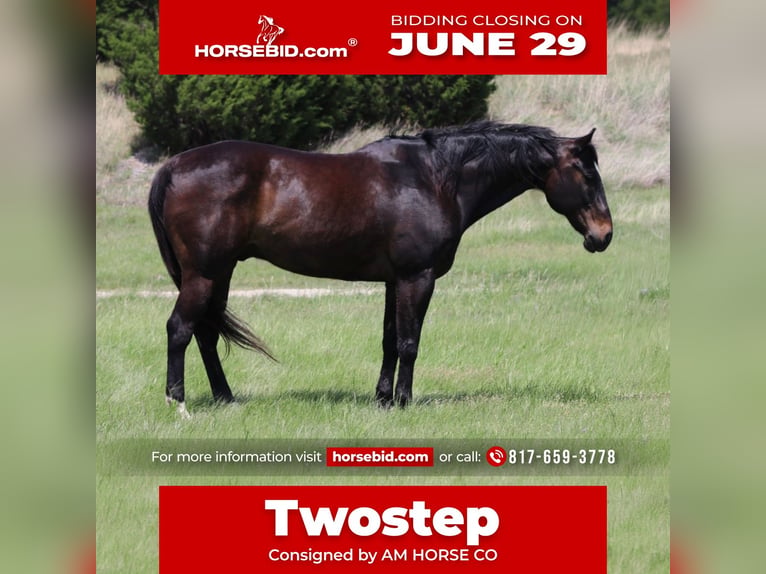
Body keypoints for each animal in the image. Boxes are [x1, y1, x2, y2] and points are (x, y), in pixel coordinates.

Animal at [148, 122, 613, 417]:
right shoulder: (417, 277)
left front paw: (383, 400)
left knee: (205, 334)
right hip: (204, 274)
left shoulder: (394, 281)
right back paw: (178, 404)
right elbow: (409, 342)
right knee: (179, 329)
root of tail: (172, 167)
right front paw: (404, 402)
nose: (604, 235)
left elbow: (390, 341)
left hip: (219, 273)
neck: (433, 179)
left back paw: (226, 399)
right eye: (586, 175)